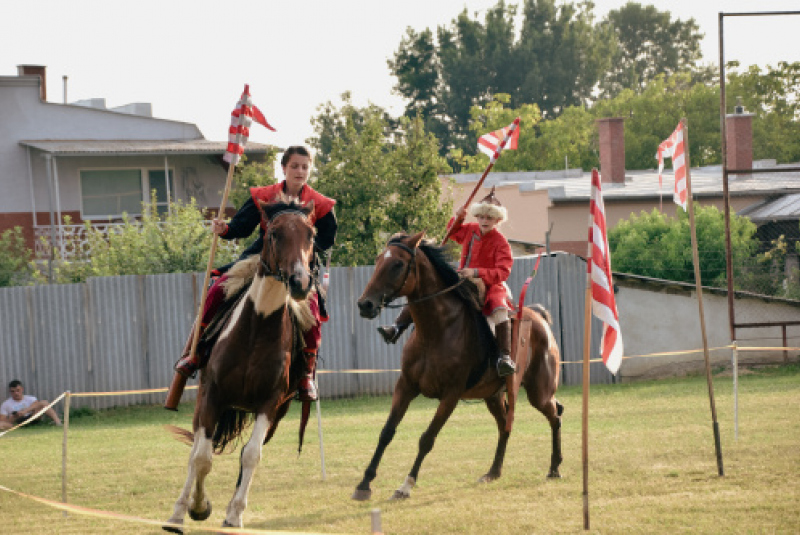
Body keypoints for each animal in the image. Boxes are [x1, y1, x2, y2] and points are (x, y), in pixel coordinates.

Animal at [164, 199, 318, 532]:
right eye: (273, 233)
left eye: (311, 235)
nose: (300, 282)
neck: (256, 328)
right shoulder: (213, 396)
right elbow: (202, 458)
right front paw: (195, 508)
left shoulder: (269, 405)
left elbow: (251, 456)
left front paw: (234, 514)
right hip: (203, 404)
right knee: (197, 450)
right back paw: (180, 509)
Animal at [350, 231, 564, 502]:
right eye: (379, 260)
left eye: (397, 264)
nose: (365, 304)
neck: (435, 331)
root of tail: (539, 317)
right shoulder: (405, 386)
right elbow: (387, 432)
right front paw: (364, 484)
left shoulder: (450, 395)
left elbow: (427, 439)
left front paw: (406, 485)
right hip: (493, 396)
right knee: (505, 425)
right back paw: (493, 472)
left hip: (539, 392)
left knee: (555, 414)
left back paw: (555, 467)